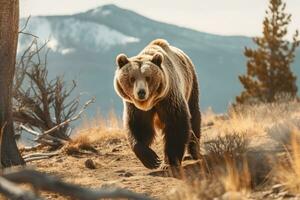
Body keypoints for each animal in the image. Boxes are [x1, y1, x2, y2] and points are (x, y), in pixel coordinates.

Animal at [113, 38, 200, 169]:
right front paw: (152, 160)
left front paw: (170, 161)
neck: (149, 103)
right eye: (132, 78)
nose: (141, 92)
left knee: (194, 115)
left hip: (190, 85)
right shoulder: (135, 108)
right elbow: (138, 127)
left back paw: (194, 151)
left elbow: (176, 124)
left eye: (148, 77)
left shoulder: (169, 98)